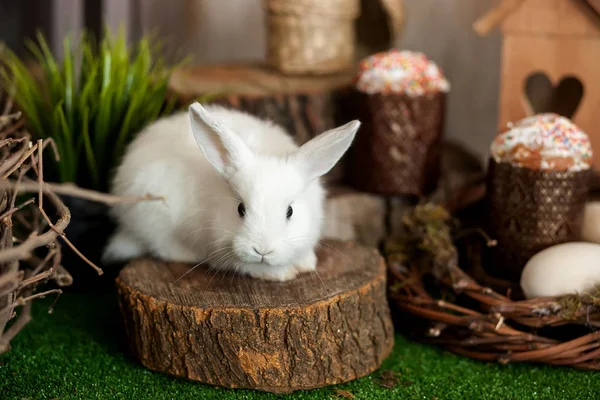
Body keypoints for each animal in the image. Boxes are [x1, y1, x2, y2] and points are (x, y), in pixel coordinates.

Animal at [102, 103, 360, 282]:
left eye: (290, 211)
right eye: (240, 209)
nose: (262, 250)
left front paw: (306, 263)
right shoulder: (219, 250)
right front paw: (282, 273)